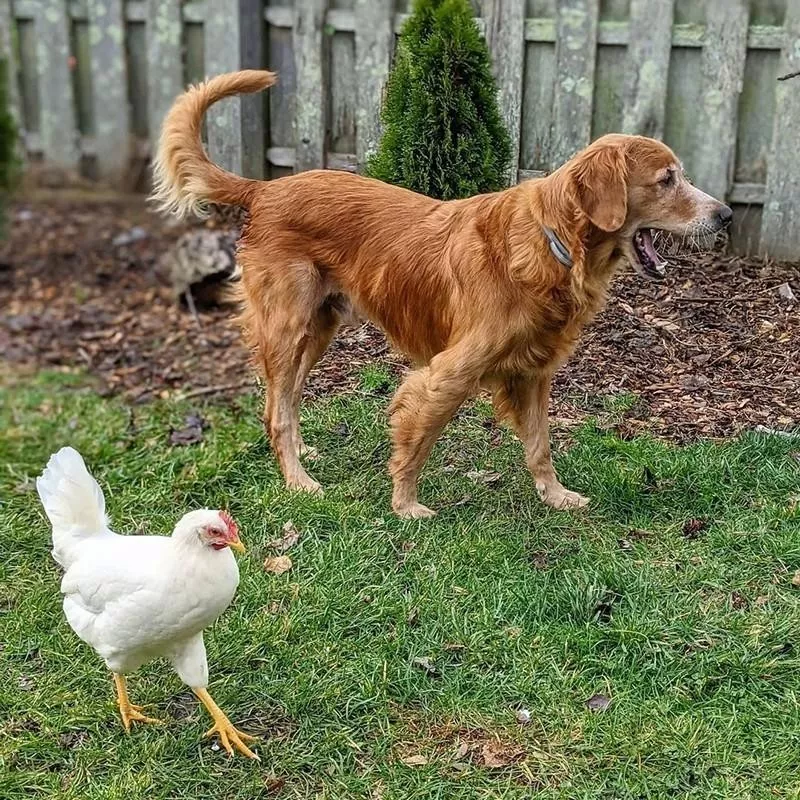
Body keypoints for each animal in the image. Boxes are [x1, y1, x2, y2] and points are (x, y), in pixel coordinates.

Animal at [153, 69, 736, 520]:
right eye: (666, 180)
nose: (726, 215)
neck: (551, 243)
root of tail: (264, 188)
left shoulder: (534, 373)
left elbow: (540, 445)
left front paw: (555, 496)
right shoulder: (447, 373)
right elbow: (417, 440)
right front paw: (405, 505)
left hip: (318, 328)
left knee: (288, 400)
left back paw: (301, 454)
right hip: (287, 325)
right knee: (276, 409)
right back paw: (297, 481)